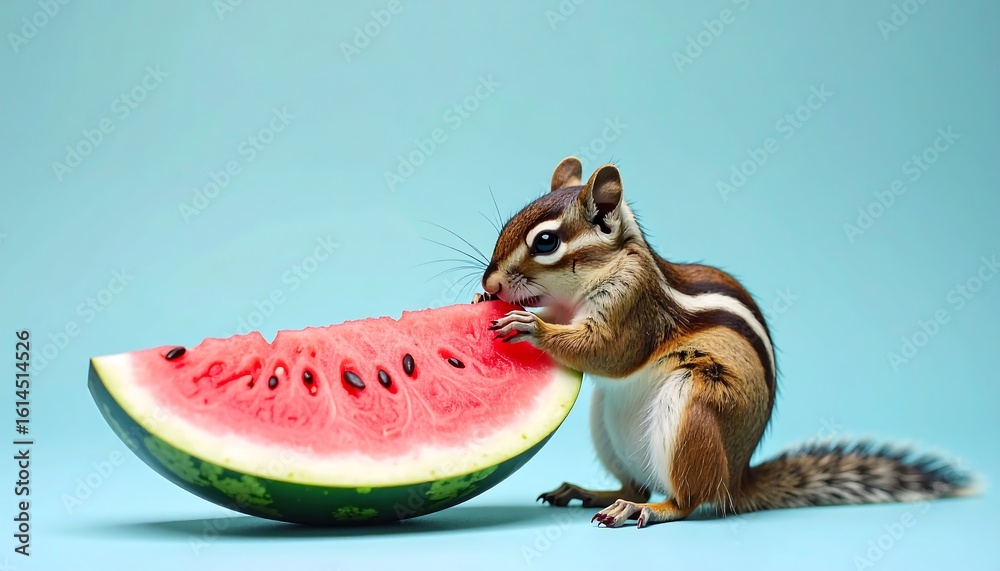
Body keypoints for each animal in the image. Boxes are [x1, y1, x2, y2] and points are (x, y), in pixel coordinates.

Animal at [472, 157, 973, 528]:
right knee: (636, 483)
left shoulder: (634, 307)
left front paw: (533, 327)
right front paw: (490, 303)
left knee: (686, 501)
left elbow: (609, 352)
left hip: (692, 406)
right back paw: (590, 492)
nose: (489, 283)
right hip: (607, 425)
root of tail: (736, 477)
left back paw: (645, 509)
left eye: (546, 242)